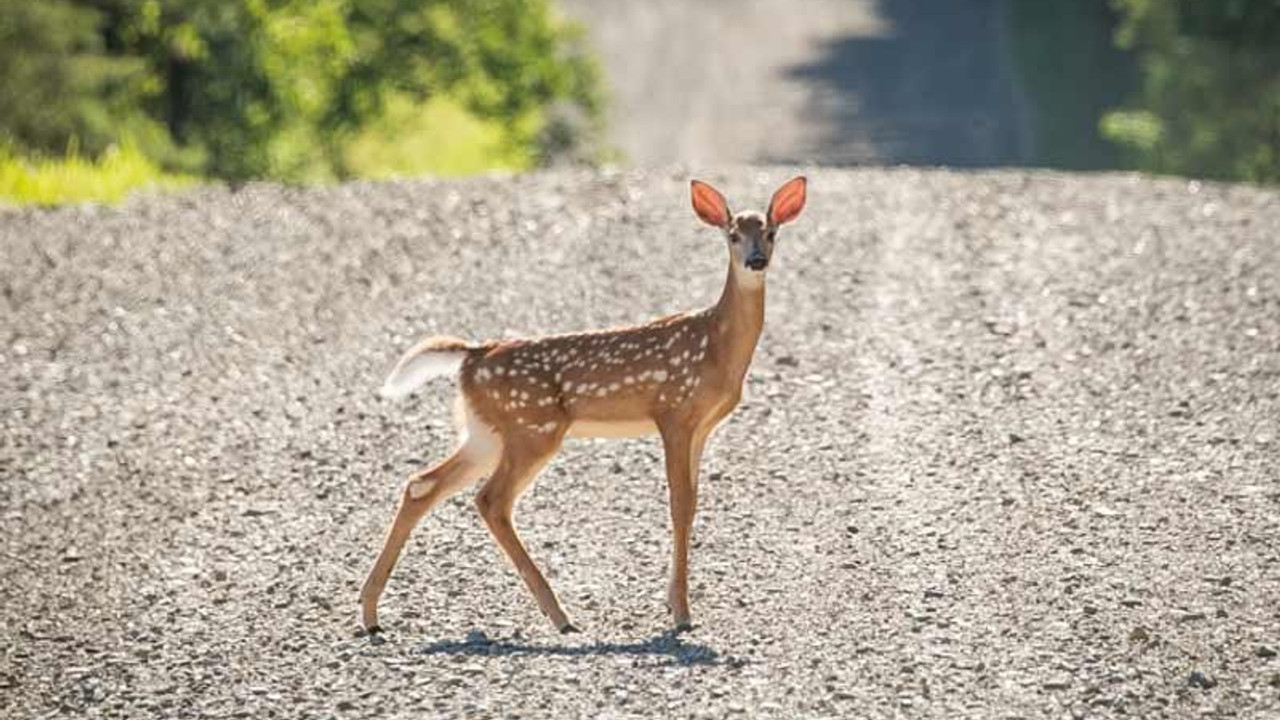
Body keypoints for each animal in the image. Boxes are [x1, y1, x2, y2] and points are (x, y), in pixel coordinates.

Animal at [360, 176, 803, 630]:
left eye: (771, 232)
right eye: (732, 235)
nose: (756, 260)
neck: (716, 346)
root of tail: (472, 356)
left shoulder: (702, 426)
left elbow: (693, 502)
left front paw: (671, 601)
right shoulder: (673, 412)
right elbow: (679, 504)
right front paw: (681, 612)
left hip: (485, 432)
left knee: (422, 484)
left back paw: (370, 611)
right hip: (532, 430)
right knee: (491, 500)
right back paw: (559, 614)